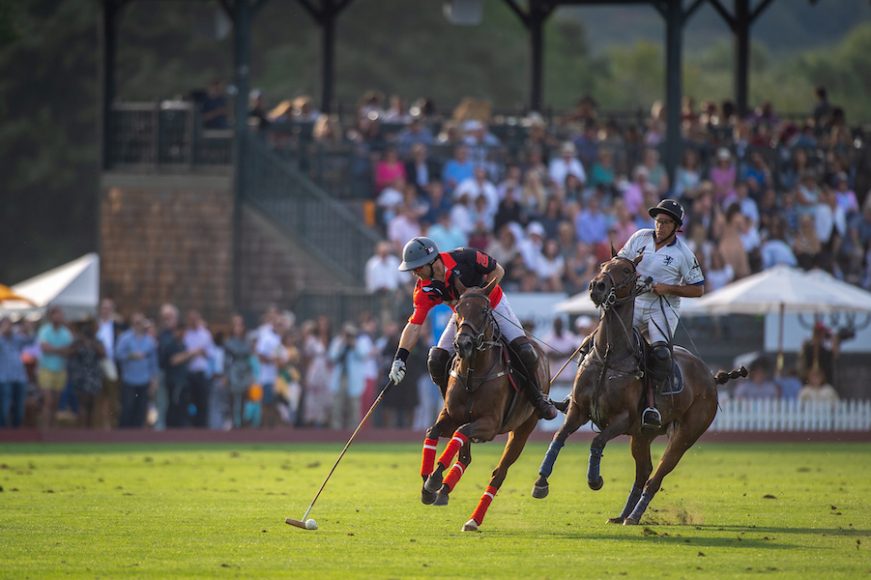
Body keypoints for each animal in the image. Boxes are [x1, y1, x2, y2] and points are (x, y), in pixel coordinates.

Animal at [418, 288, 548, 532]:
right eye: (458, 309)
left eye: (484, 311)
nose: (463, 343)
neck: (473, 374)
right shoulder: (451, 416)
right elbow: (434, 431)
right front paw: (429, 483)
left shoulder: (489, 425)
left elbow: (460, 434)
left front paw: (433, 480)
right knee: (465, 456)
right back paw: (445, 491)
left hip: (524, 428)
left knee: (499, 473)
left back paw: (473, 519)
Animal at [528, 251, 744, 524]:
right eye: (603, 265)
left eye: (627, 271)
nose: (597, 286)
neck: (609, 355)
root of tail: (710, 377)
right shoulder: (578, 409)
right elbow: (559, 436)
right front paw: (541, 482)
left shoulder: (622, 418)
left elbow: (597, 441)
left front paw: (595, 479)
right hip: (642, 436)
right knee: (644, 471)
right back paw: (623, 515)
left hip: (686, 433)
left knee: (657, 475)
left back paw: (634, 514)